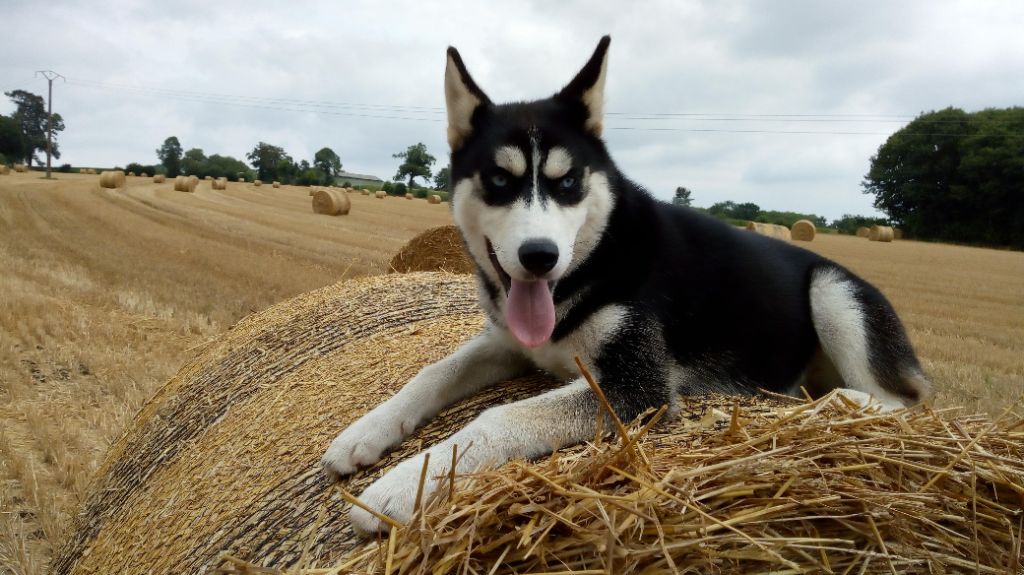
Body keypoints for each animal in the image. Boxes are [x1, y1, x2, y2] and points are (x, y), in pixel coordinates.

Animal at [323, 36, 933, 532]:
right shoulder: (508, 343)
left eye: (568, 182)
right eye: (498, 180)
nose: (539, 257)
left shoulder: (636, 387)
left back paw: (839, 401)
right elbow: (434, 371)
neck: (591, 264)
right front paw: (363, 434)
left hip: (832, 290)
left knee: (903, 402)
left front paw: (400, 486)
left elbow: (498, 416)